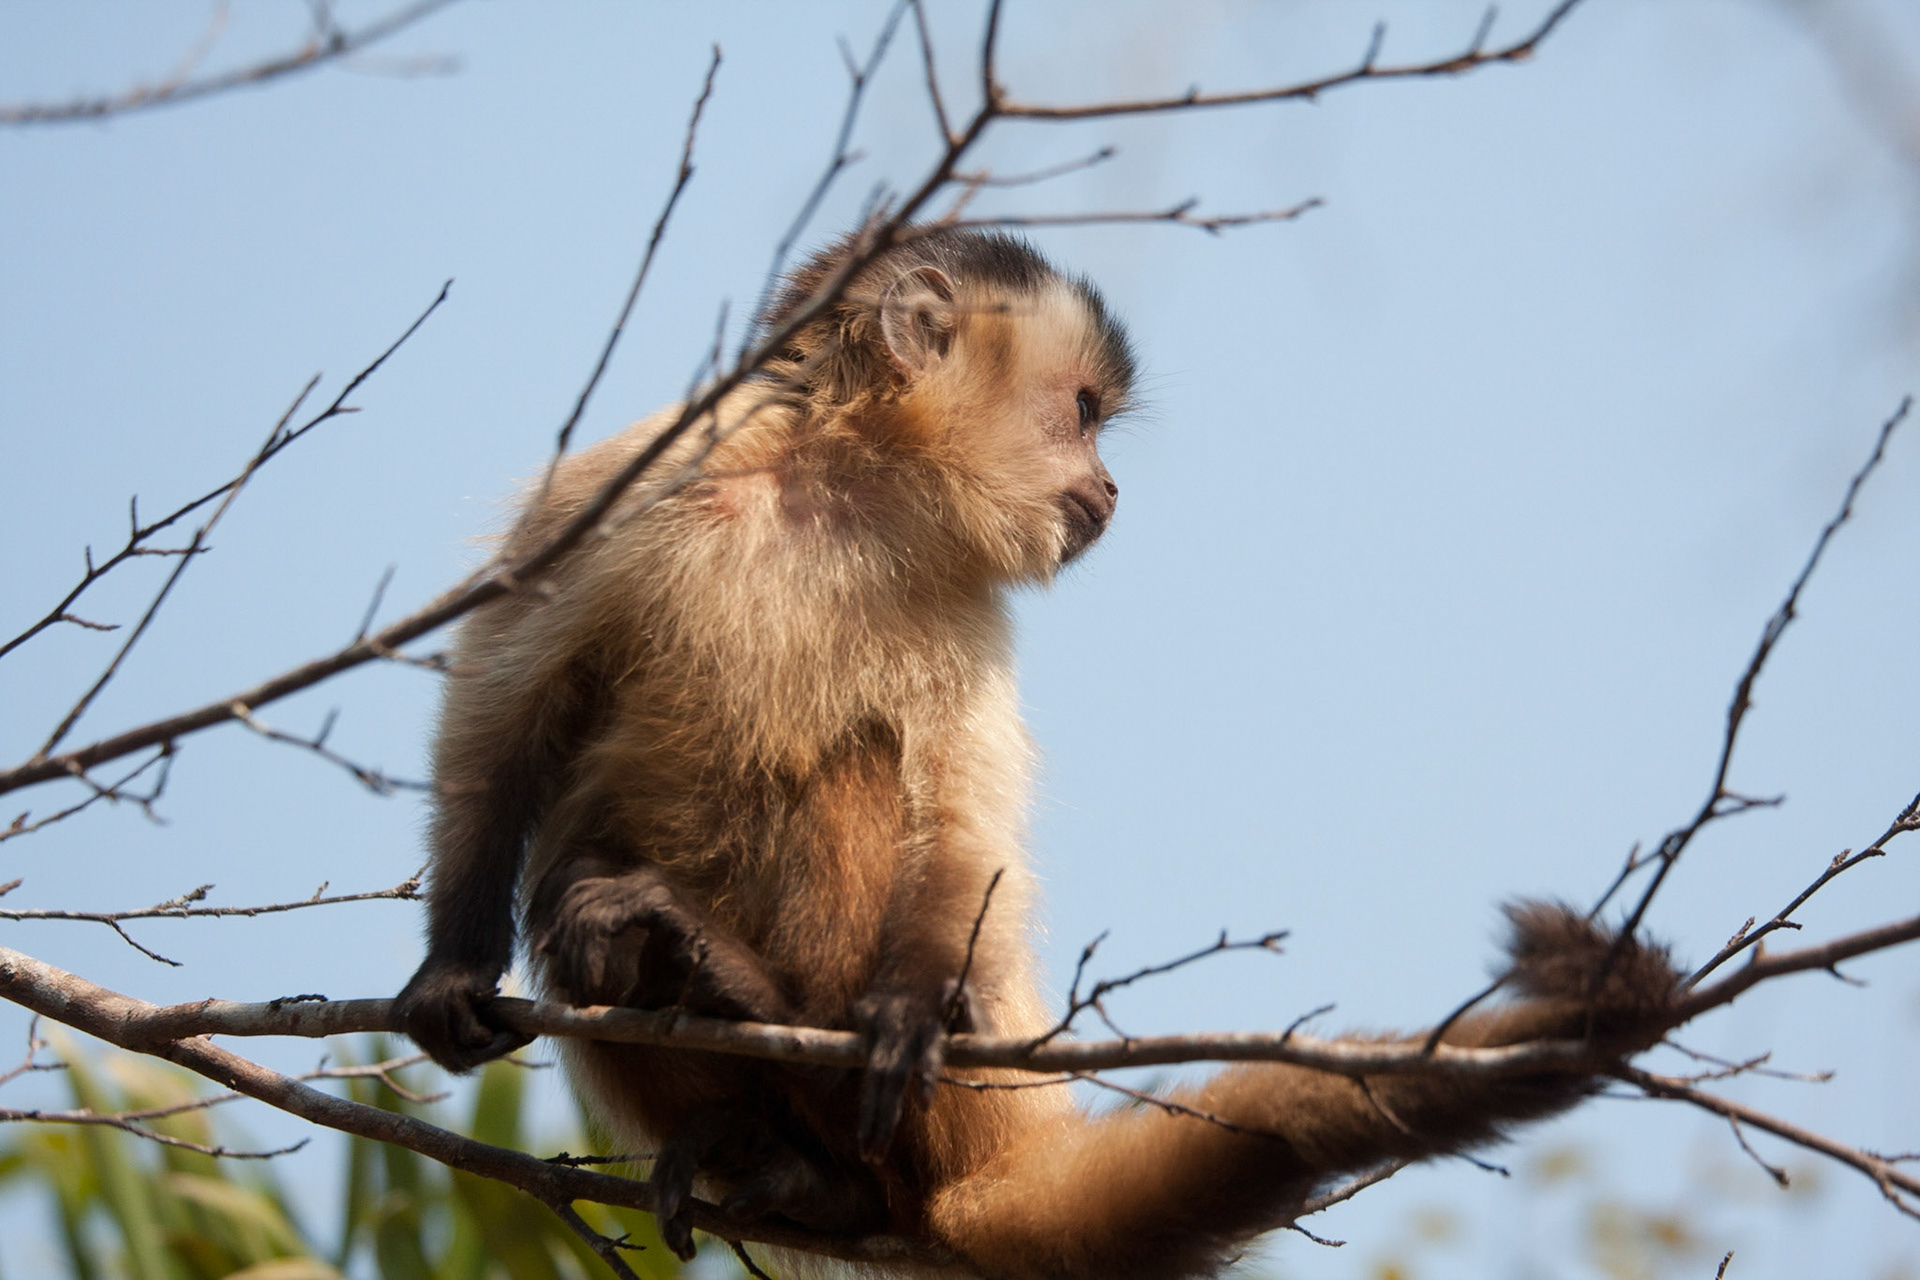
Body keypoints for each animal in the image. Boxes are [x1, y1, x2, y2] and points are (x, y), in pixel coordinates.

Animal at [395, 226, 1682, 1279]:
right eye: (1083, 412)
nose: (1109, 482)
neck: (838, 484)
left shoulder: (965, 587)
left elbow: (960, 816)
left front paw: (903, 1011)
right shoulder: (641, 470)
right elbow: (504, 696)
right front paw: (453, 968)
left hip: (970, 1094)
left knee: (847, 782)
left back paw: (786, 1064)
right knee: (577, 885)